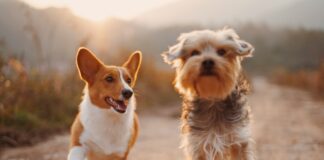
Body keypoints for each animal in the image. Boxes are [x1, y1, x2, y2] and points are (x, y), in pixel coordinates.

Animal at [162, 28, 256, 159]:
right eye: (194, 53)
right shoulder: (198, 144)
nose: (207, 61)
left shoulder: (239, 140)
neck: (213, 97)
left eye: (221, 51)